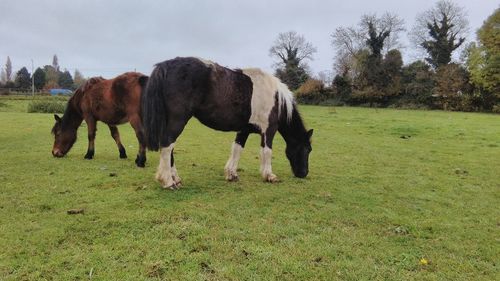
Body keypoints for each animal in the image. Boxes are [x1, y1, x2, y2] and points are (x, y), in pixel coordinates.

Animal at [142, 56, 312, 188]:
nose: (303, 174)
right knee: (167, 145)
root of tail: (166, 65)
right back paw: (168, 181)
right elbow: (266, 151)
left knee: (169, 148)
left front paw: (231, 174)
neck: (277, 99)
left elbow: (237, 149)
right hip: (177, 121)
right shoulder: (268, 130)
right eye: (307, 149)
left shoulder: (244, 130)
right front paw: (269, 175)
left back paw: (175, 179)